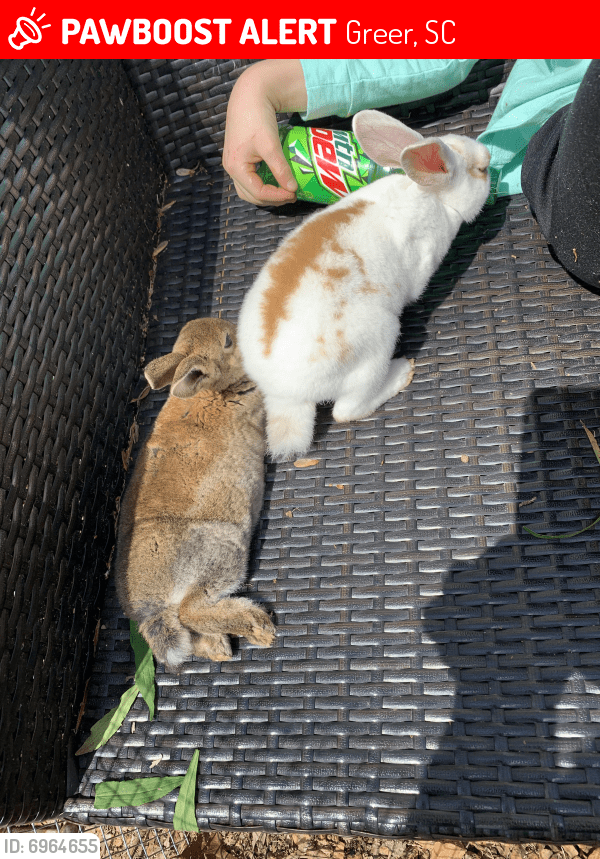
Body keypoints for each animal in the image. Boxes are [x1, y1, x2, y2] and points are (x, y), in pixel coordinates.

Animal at [115, 317, 275, 671]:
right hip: (221, 549)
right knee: (191, 610)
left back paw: (219, 648)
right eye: (227, 341)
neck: (213, 390)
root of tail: (150, 606)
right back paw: (257, 626)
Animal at [238, 110, 491, 461]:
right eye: (480, 171)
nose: (490, 156)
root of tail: (285, 395)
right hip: (377, 343)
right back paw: (401, 373)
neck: (430, 194)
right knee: (346, 411)